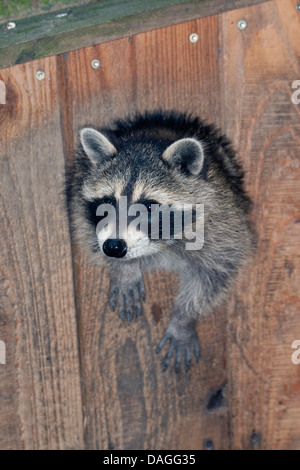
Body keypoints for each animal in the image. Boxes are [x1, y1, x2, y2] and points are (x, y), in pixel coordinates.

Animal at [66, 108, 253, 372]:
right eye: (108, 202)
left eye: (148, 206)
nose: (114, 247)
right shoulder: (79, 203)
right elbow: (87, 232)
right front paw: (125, 270)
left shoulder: (224, 222)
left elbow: (215, 273)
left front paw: (184, 319)